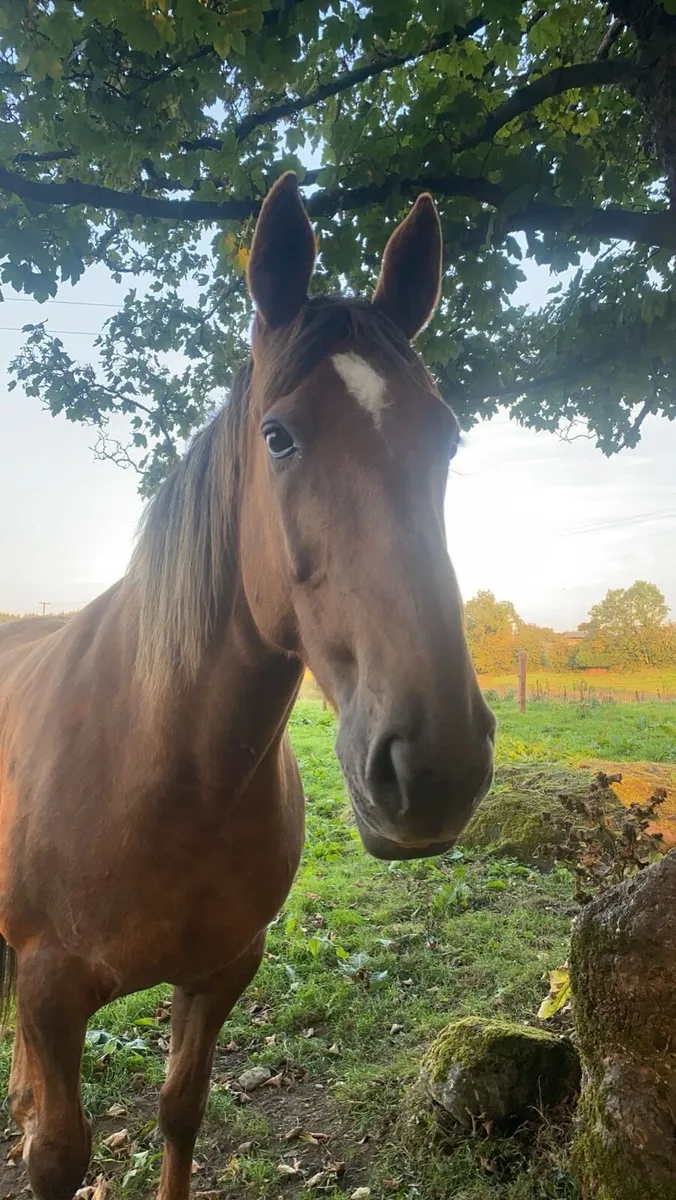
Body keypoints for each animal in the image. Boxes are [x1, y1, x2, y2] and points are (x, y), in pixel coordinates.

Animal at [0, 173, 495, 1200]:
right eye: (278, 437)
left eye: (448, 440)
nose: (436, 769)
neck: (166, 768)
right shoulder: (52, 988)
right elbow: (57, 1154)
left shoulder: (223, 970)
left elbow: (180, 1113)